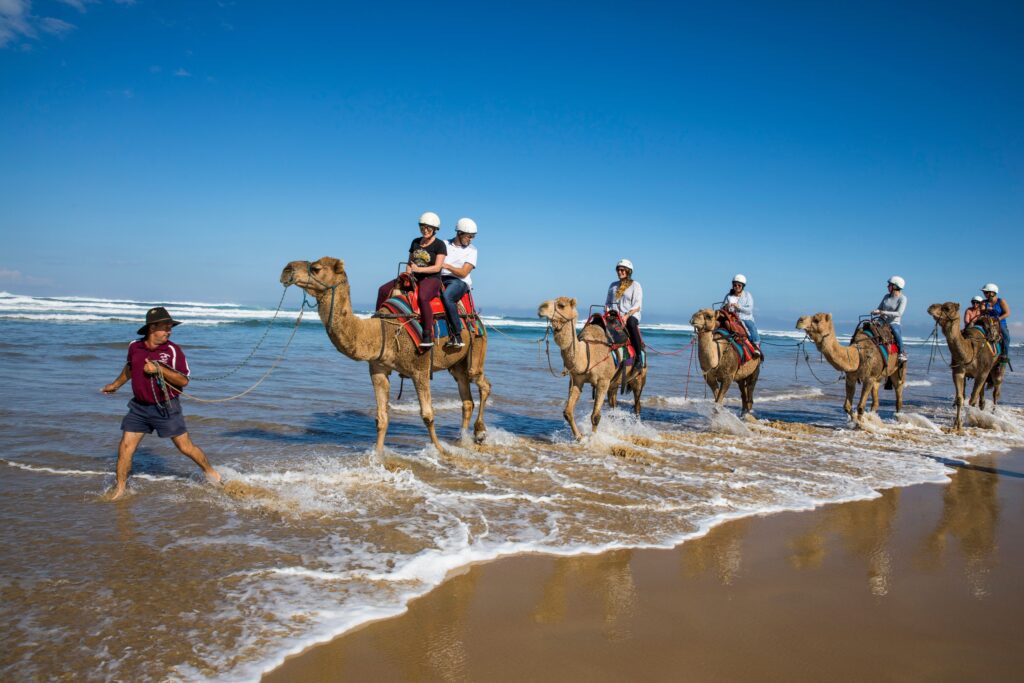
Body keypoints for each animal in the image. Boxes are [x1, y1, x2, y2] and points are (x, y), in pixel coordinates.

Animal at [281, 257, 491, 452]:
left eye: (316, 268)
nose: (286, 269)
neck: (383, 331)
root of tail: (475, 315)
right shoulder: (378, 369)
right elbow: (381, 418)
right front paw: (378, 454)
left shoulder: (420, 369)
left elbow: (427, 415)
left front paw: (439, 450)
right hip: (456, 364)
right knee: (466, 399)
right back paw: (462, 439)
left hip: (477, 347)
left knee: (482, 383)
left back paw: (480, 433)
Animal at [537, 297, 647, 440]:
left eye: (561, 305)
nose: (541, 307)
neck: (587, 353)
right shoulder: (577, 380)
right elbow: (568, 412)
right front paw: (579, 437)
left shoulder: (603, 381)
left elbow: (595, 416)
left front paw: (593, 439)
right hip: (614, 383)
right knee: (614, 405)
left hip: (638, 378)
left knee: (637, 405)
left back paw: (636, 428)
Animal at [927, 302, 1004, 432]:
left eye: (947, 308)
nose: (930, 307)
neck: (970, 351)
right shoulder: (958, 372)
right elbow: (960, 399)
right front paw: (957, 425)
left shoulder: (982, 372)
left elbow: (972, 400)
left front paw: (968, 421)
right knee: (982, 393)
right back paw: (982, 410)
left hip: (996, 366)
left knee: (996, 390)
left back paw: (992, 414)